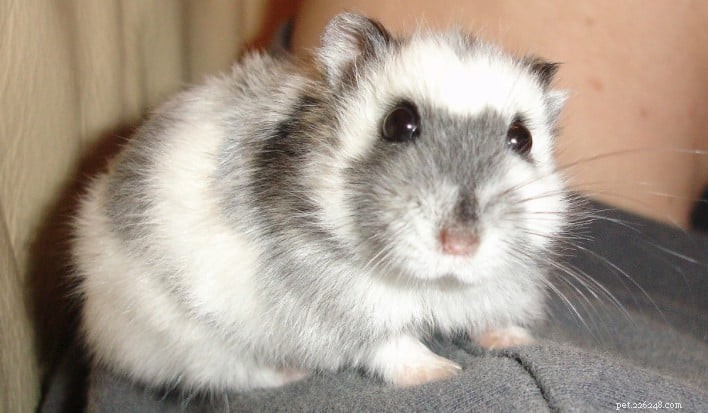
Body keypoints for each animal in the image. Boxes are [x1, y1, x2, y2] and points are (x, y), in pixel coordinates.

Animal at [72, 13, 569, 392]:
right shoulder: (337, 308)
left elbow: (491, 317)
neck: (434, 283)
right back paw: (291, 373)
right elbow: (390, 344)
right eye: (398, 123)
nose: (460, 244)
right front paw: (440, 372)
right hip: (189, 343)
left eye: (521, 138)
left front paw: (517, 341)